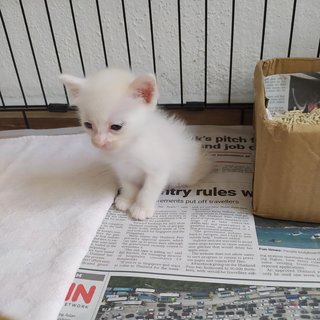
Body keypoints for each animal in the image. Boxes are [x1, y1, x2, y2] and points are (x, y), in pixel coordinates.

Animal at [61, 69, 211, 220]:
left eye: (116, 127)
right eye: (88, 125)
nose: (99, 143)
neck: (128, 147)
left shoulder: (157, 170)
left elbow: (148, 190)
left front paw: (141, 208)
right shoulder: (122, 169)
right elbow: (128, 185)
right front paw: (126, 199)